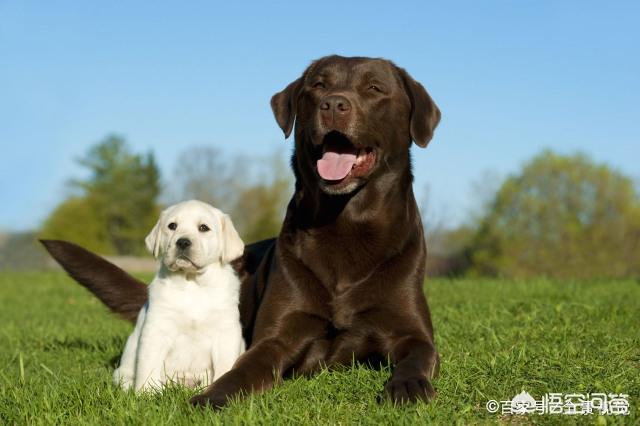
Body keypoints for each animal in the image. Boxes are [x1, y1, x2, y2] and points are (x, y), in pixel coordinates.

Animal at [112, 200, 245, 392]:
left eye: (203, 228)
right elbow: (148, 366)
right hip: (124, 366)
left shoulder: (226, 332)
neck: (192, 283)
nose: (182, 242)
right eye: (172, 226)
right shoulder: (157, 329)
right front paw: (146, 393)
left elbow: (225, 367)